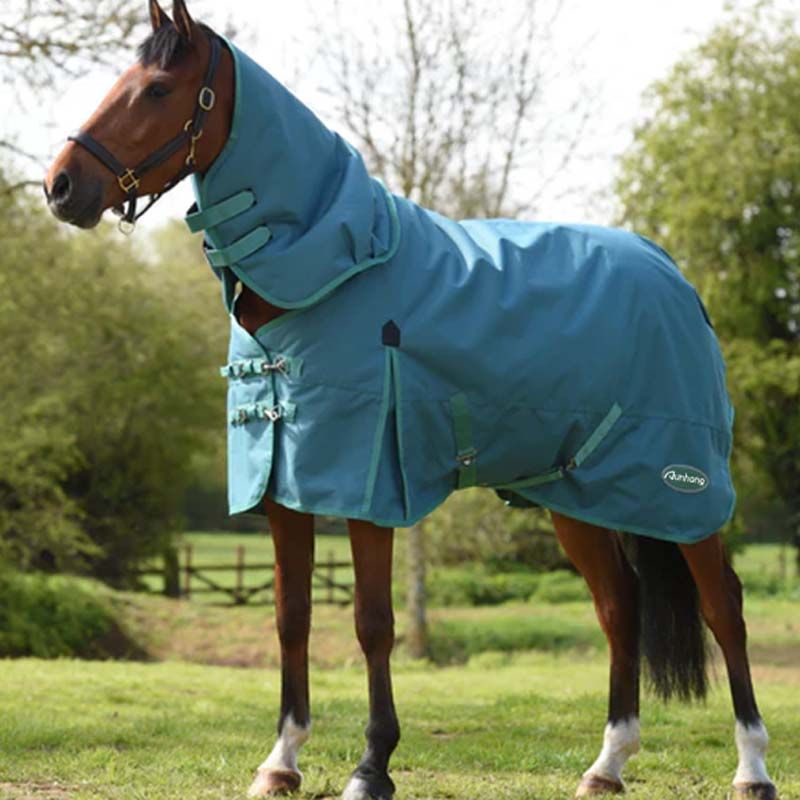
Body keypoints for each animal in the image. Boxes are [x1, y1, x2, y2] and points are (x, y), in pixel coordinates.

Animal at [44, 2, 778, 799]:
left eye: (156, 89)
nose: (61, 186)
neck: (332, 271)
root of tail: (672, 275)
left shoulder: (368, 485)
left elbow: (372, 622)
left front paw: (371, 766)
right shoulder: (284, 490)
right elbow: (292, 617)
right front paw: (281, 760)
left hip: (682, 490)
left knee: (724, 607)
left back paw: (752, 767)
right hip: (575, 494)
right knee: (620, 608)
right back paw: (606, 765)